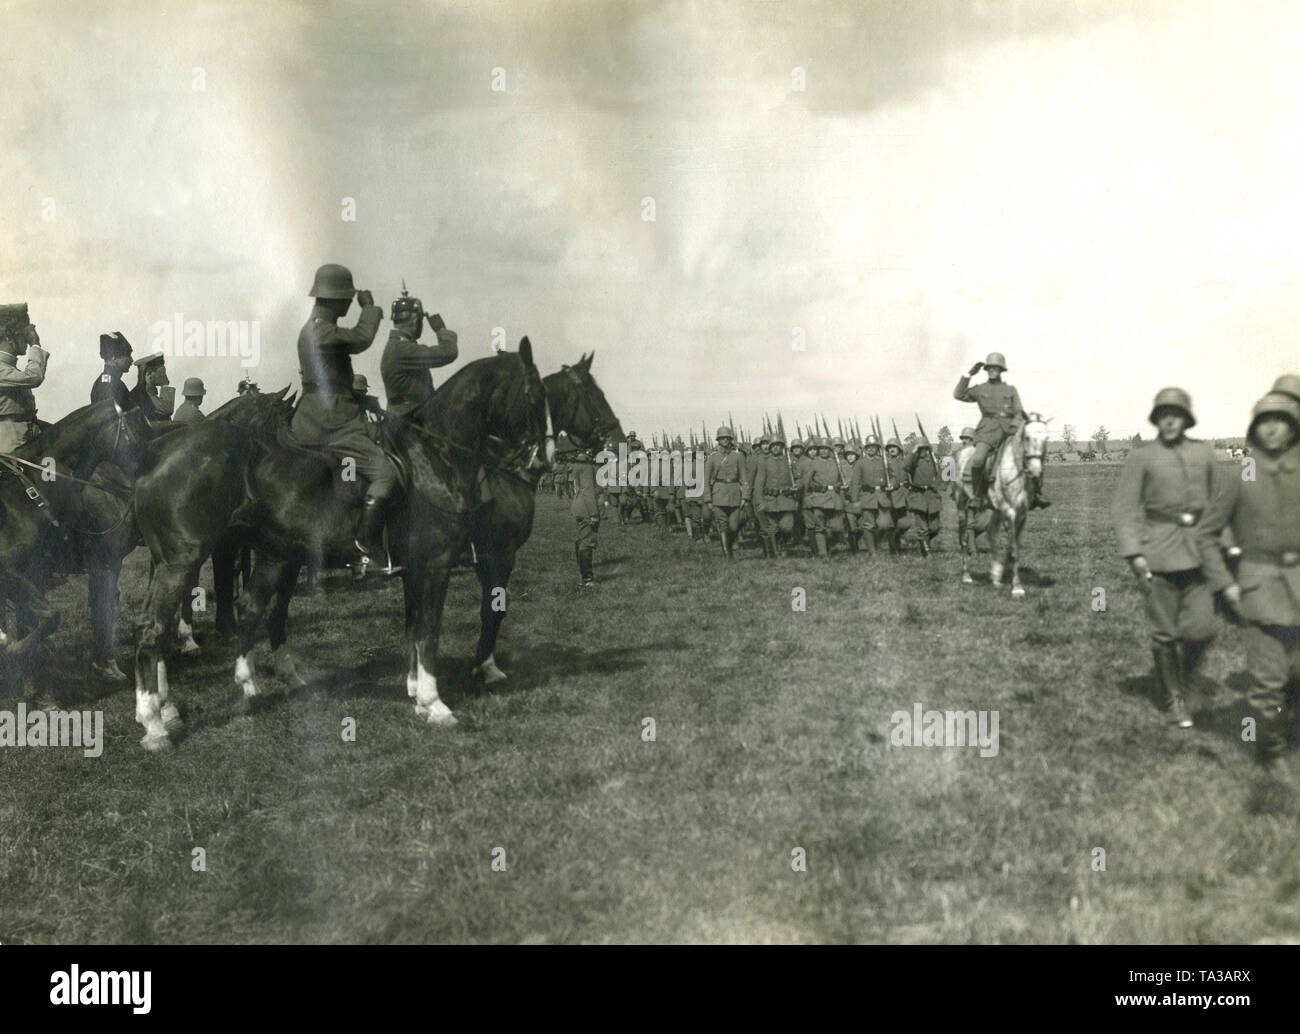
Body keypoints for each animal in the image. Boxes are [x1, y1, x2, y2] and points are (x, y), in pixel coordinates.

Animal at [133, 340, 553, 754]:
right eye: (533, 394)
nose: (542, 463)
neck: (432, 460)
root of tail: (159, 451)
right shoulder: (438, 565)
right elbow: (429, 633)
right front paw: (435, 704)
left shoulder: (414, 571)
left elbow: (414, 629)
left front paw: (417, 695)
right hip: (182, 562)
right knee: (153, 629)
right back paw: (154, 723)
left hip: (256, 558)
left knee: (236, 611)